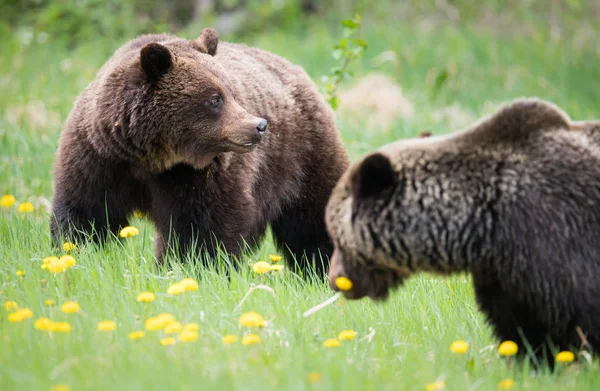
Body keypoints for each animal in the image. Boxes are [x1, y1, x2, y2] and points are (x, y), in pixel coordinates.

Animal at [52, 28, 352, 276]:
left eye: (232, 94)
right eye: (215, 98)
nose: (259, 125)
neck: (150, 158)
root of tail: (293, 67)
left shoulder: (199, 174)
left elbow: (201, 227)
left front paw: (189, 268)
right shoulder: (98, 158)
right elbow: (85, 213)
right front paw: (73, 253)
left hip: (302, 153)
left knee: (314, 214)